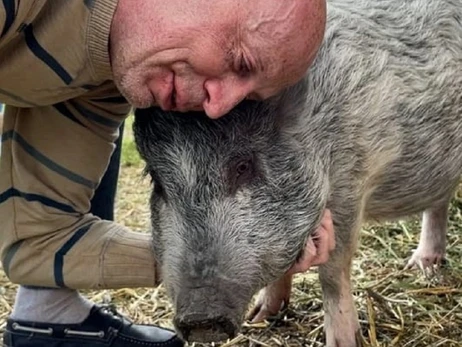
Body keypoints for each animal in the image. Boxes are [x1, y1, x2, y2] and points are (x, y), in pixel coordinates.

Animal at [131, 0, 462, 346]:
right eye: (158, 181)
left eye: (243, 167)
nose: (200, 320)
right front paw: (260, 316)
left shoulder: (351, 182)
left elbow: (332, 273)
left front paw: (344, 342)